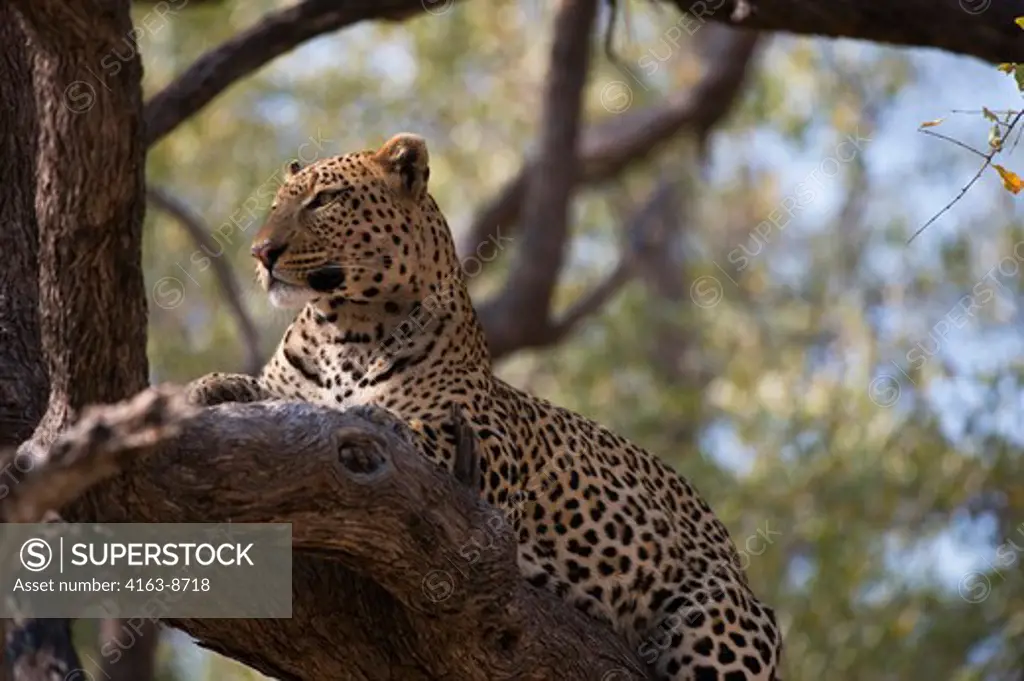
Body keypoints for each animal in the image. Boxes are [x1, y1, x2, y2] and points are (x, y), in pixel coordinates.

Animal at [188, 133, 778, 679]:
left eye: (325, 200)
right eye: (275, 206)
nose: (261, 253)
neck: (346, 330)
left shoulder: (493, 445)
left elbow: (420, 427)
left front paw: (378, 419)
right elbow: (265, 396)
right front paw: (212, 386)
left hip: (716, 628)